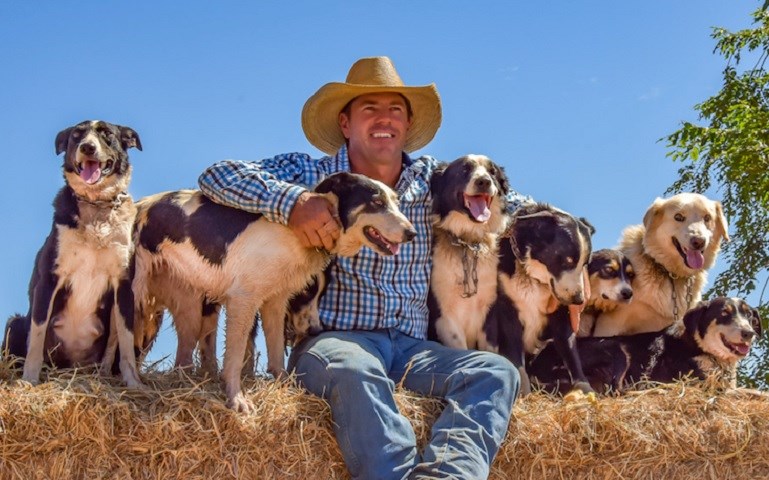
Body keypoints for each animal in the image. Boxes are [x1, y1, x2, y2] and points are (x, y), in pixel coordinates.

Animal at [3, 120, 143, 386]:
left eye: (107, 134)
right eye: (77, 136)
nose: (87, 147)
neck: (96, 207)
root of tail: (71, 367)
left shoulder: (123, 285)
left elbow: (127, 341)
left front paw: (134, 383)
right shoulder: (49, 279)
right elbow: (36, 337)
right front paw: (29, 379)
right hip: (14, 323)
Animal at [134, 172, 416, 412]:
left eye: (396, 202)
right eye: (376, 202)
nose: (412, 233)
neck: (294, 235)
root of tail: (138, 205)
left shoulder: (275, 303)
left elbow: (277, 351)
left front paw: (283, 386)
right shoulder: (243, 302)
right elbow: (235, 357)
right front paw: (236, 399)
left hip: (188, 309)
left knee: (183, 356)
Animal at [426, 154, 510, 348]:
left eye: (492, 172)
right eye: (464, 169)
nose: (484, 181)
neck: (468, 242)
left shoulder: (488, 311)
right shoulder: (445, 315)